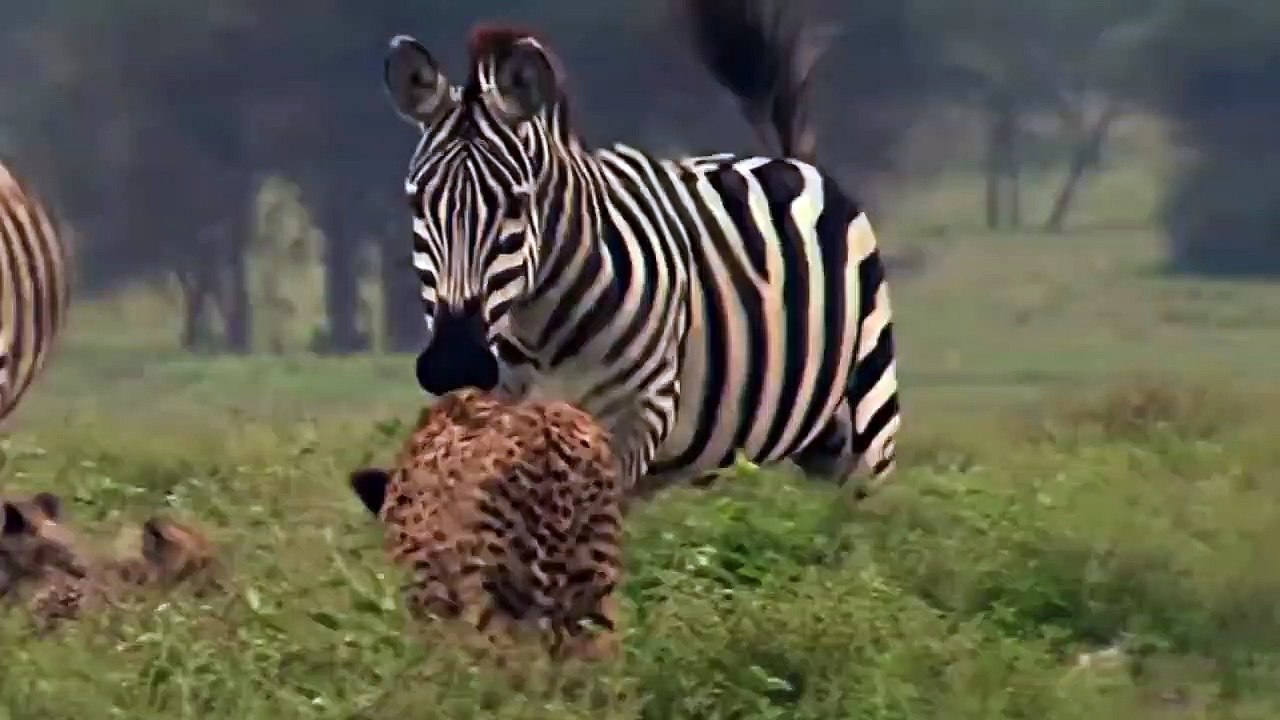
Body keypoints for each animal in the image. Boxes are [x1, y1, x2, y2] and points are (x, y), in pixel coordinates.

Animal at [382, 0, 900, 499]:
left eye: (516, 203)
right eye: (417, 203)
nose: (454, 362)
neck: (539, 326)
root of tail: (792, 162)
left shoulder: (639, 411)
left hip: (869, 417)